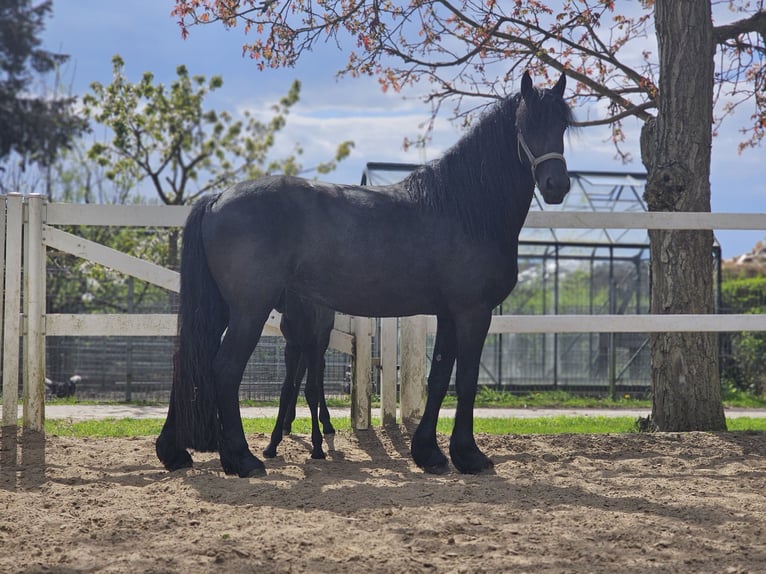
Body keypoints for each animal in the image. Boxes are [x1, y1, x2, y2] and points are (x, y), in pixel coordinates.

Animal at [264, 290, 336, 462]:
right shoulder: (292, 345)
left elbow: (311, 391)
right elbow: (286, 389)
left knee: (319, 370)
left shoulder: (313, 344)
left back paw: (327, 424)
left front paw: (317, 447)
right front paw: (272, 445)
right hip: (303, 347)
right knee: (301, 372)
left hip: (323, 339)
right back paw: (287, 422)